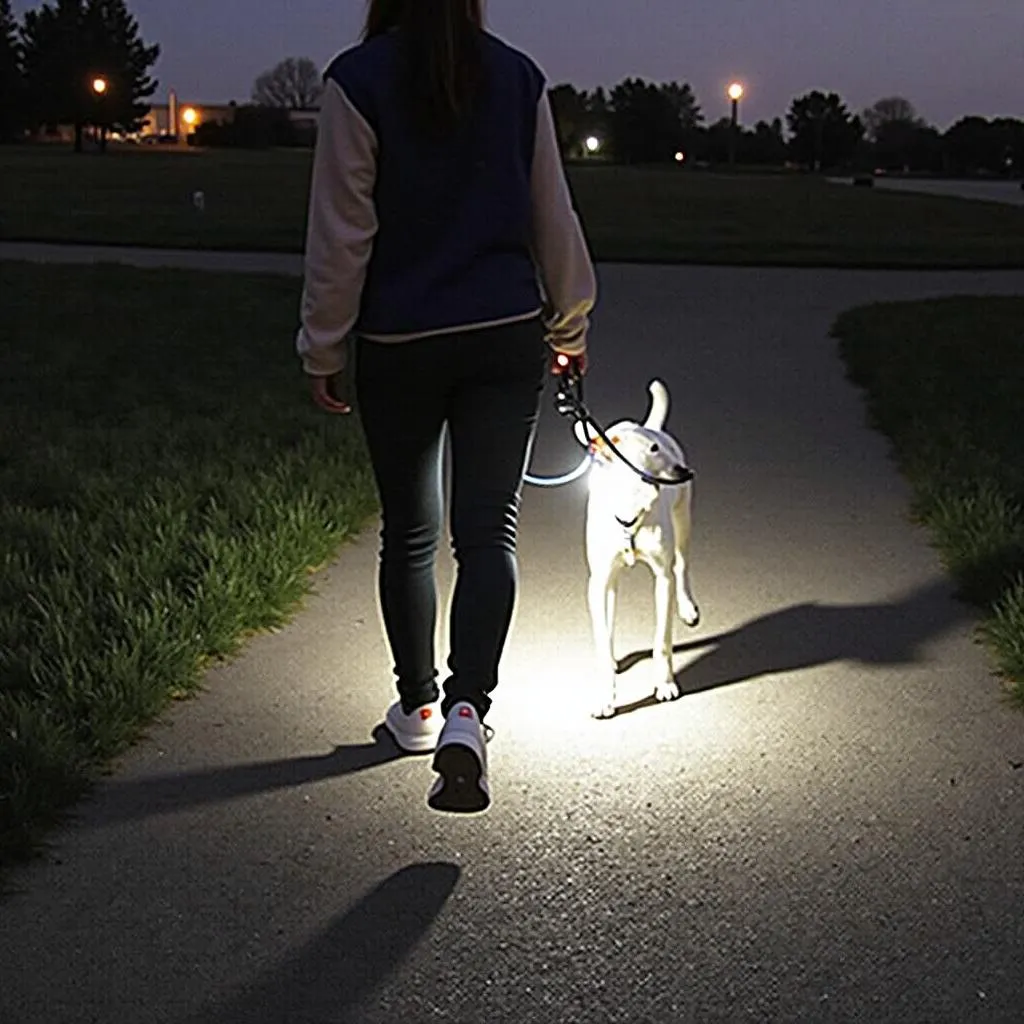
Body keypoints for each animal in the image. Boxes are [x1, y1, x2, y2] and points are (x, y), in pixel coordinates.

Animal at [573, 380, 700, 724]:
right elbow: (602, 638)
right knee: (609, 614)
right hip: (610, 582)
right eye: (654, 450)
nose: (686, 471)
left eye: (665, 448)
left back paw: (688, 608)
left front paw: (665, 684)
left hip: (683, 523)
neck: (631, 503)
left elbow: (662, 640)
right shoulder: (597, 582)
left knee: (682, 565)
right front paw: (605, 695)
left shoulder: (662, 579)